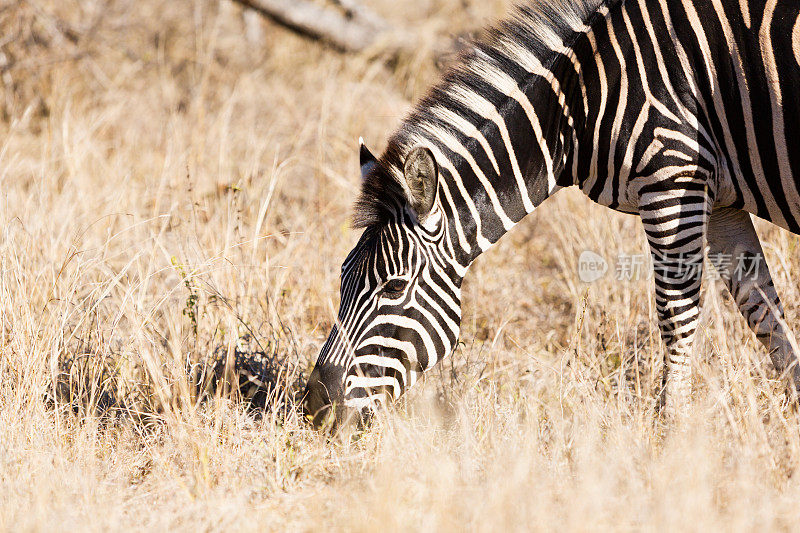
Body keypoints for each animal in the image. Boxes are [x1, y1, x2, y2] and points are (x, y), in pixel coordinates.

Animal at [302, 0, 800, 424]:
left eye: (393, 287)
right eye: (342, 277)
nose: (316, 408)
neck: (577, 105)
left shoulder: (673, 177)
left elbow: (677, 319)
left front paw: (669, 433)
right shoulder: (721, 201)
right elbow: (763, 311)